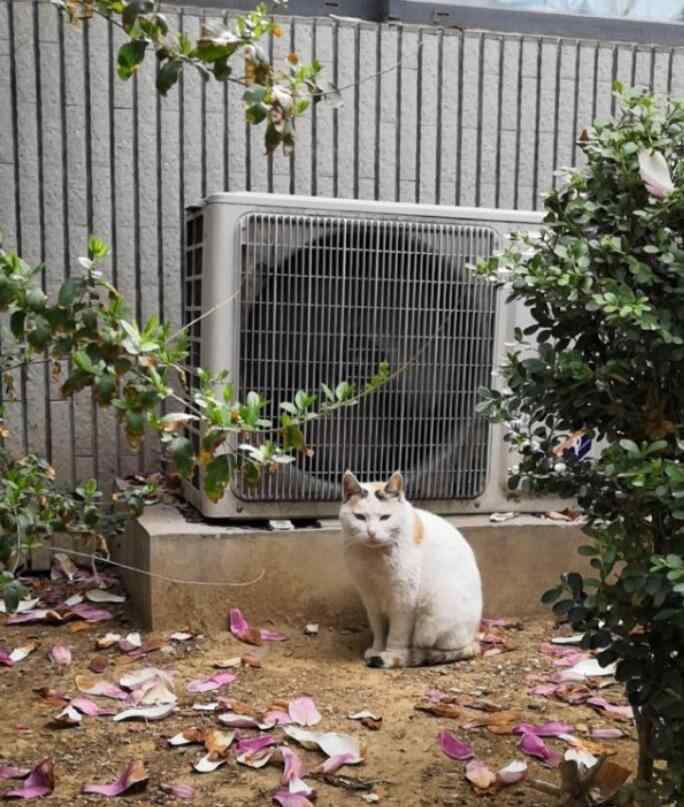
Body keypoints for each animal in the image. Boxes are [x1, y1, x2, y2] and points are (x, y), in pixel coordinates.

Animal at [340, 468, 480, 668]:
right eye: (359, 517)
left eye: (385, 517)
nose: (371, 532)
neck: (374, 558)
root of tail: (474, 635)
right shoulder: (370, 597)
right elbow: (378, 627)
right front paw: (377, 648)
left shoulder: (404, 599)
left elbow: (397, 633)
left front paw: (391, 654)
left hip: (432, 615)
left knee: (442, 648)